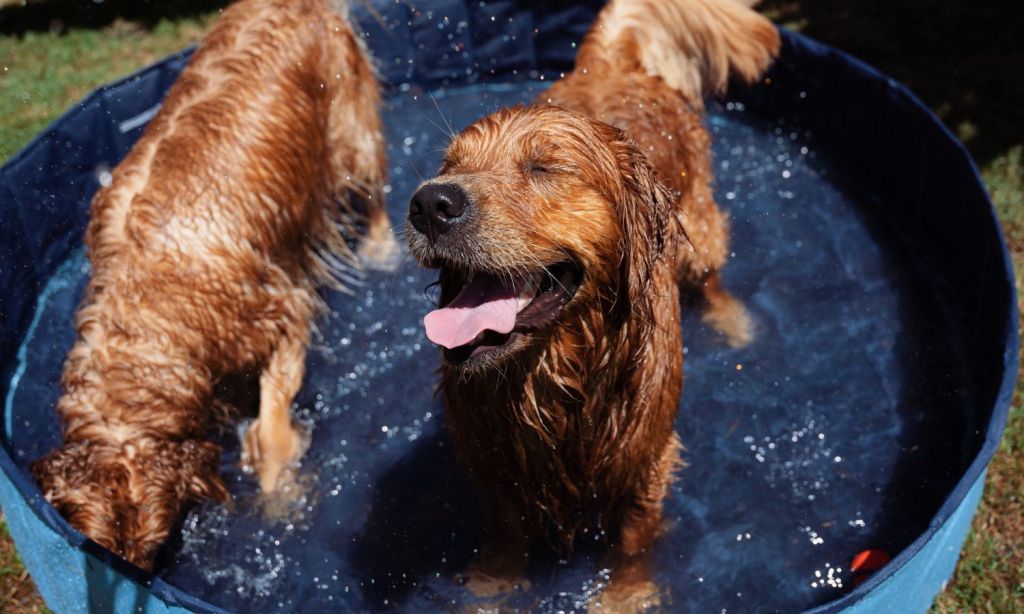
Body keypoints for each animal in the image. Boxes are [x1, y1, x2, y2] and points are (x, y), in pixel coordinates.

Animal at [28, 0, 395, 568]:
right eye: (107, 549)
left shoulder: (281, 310)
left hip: (347, 125)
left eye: (154, 545)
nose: (138, 577)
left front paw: (279, 487)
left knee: (372, 187)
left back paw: (383, 250)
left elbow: (272, 425)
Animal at [403, 0, 778, 605]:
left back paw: (734, 322)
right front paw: (491, 587)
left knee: (712, 276)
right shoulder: (498, 466)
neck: (556, 375)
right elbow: (506, 533)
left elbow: (633, 542)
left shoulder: (646, 459)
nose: (431, 203)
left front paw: (624, 596)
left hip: (698, 229)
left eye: (543, 168)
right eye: (449, 164)